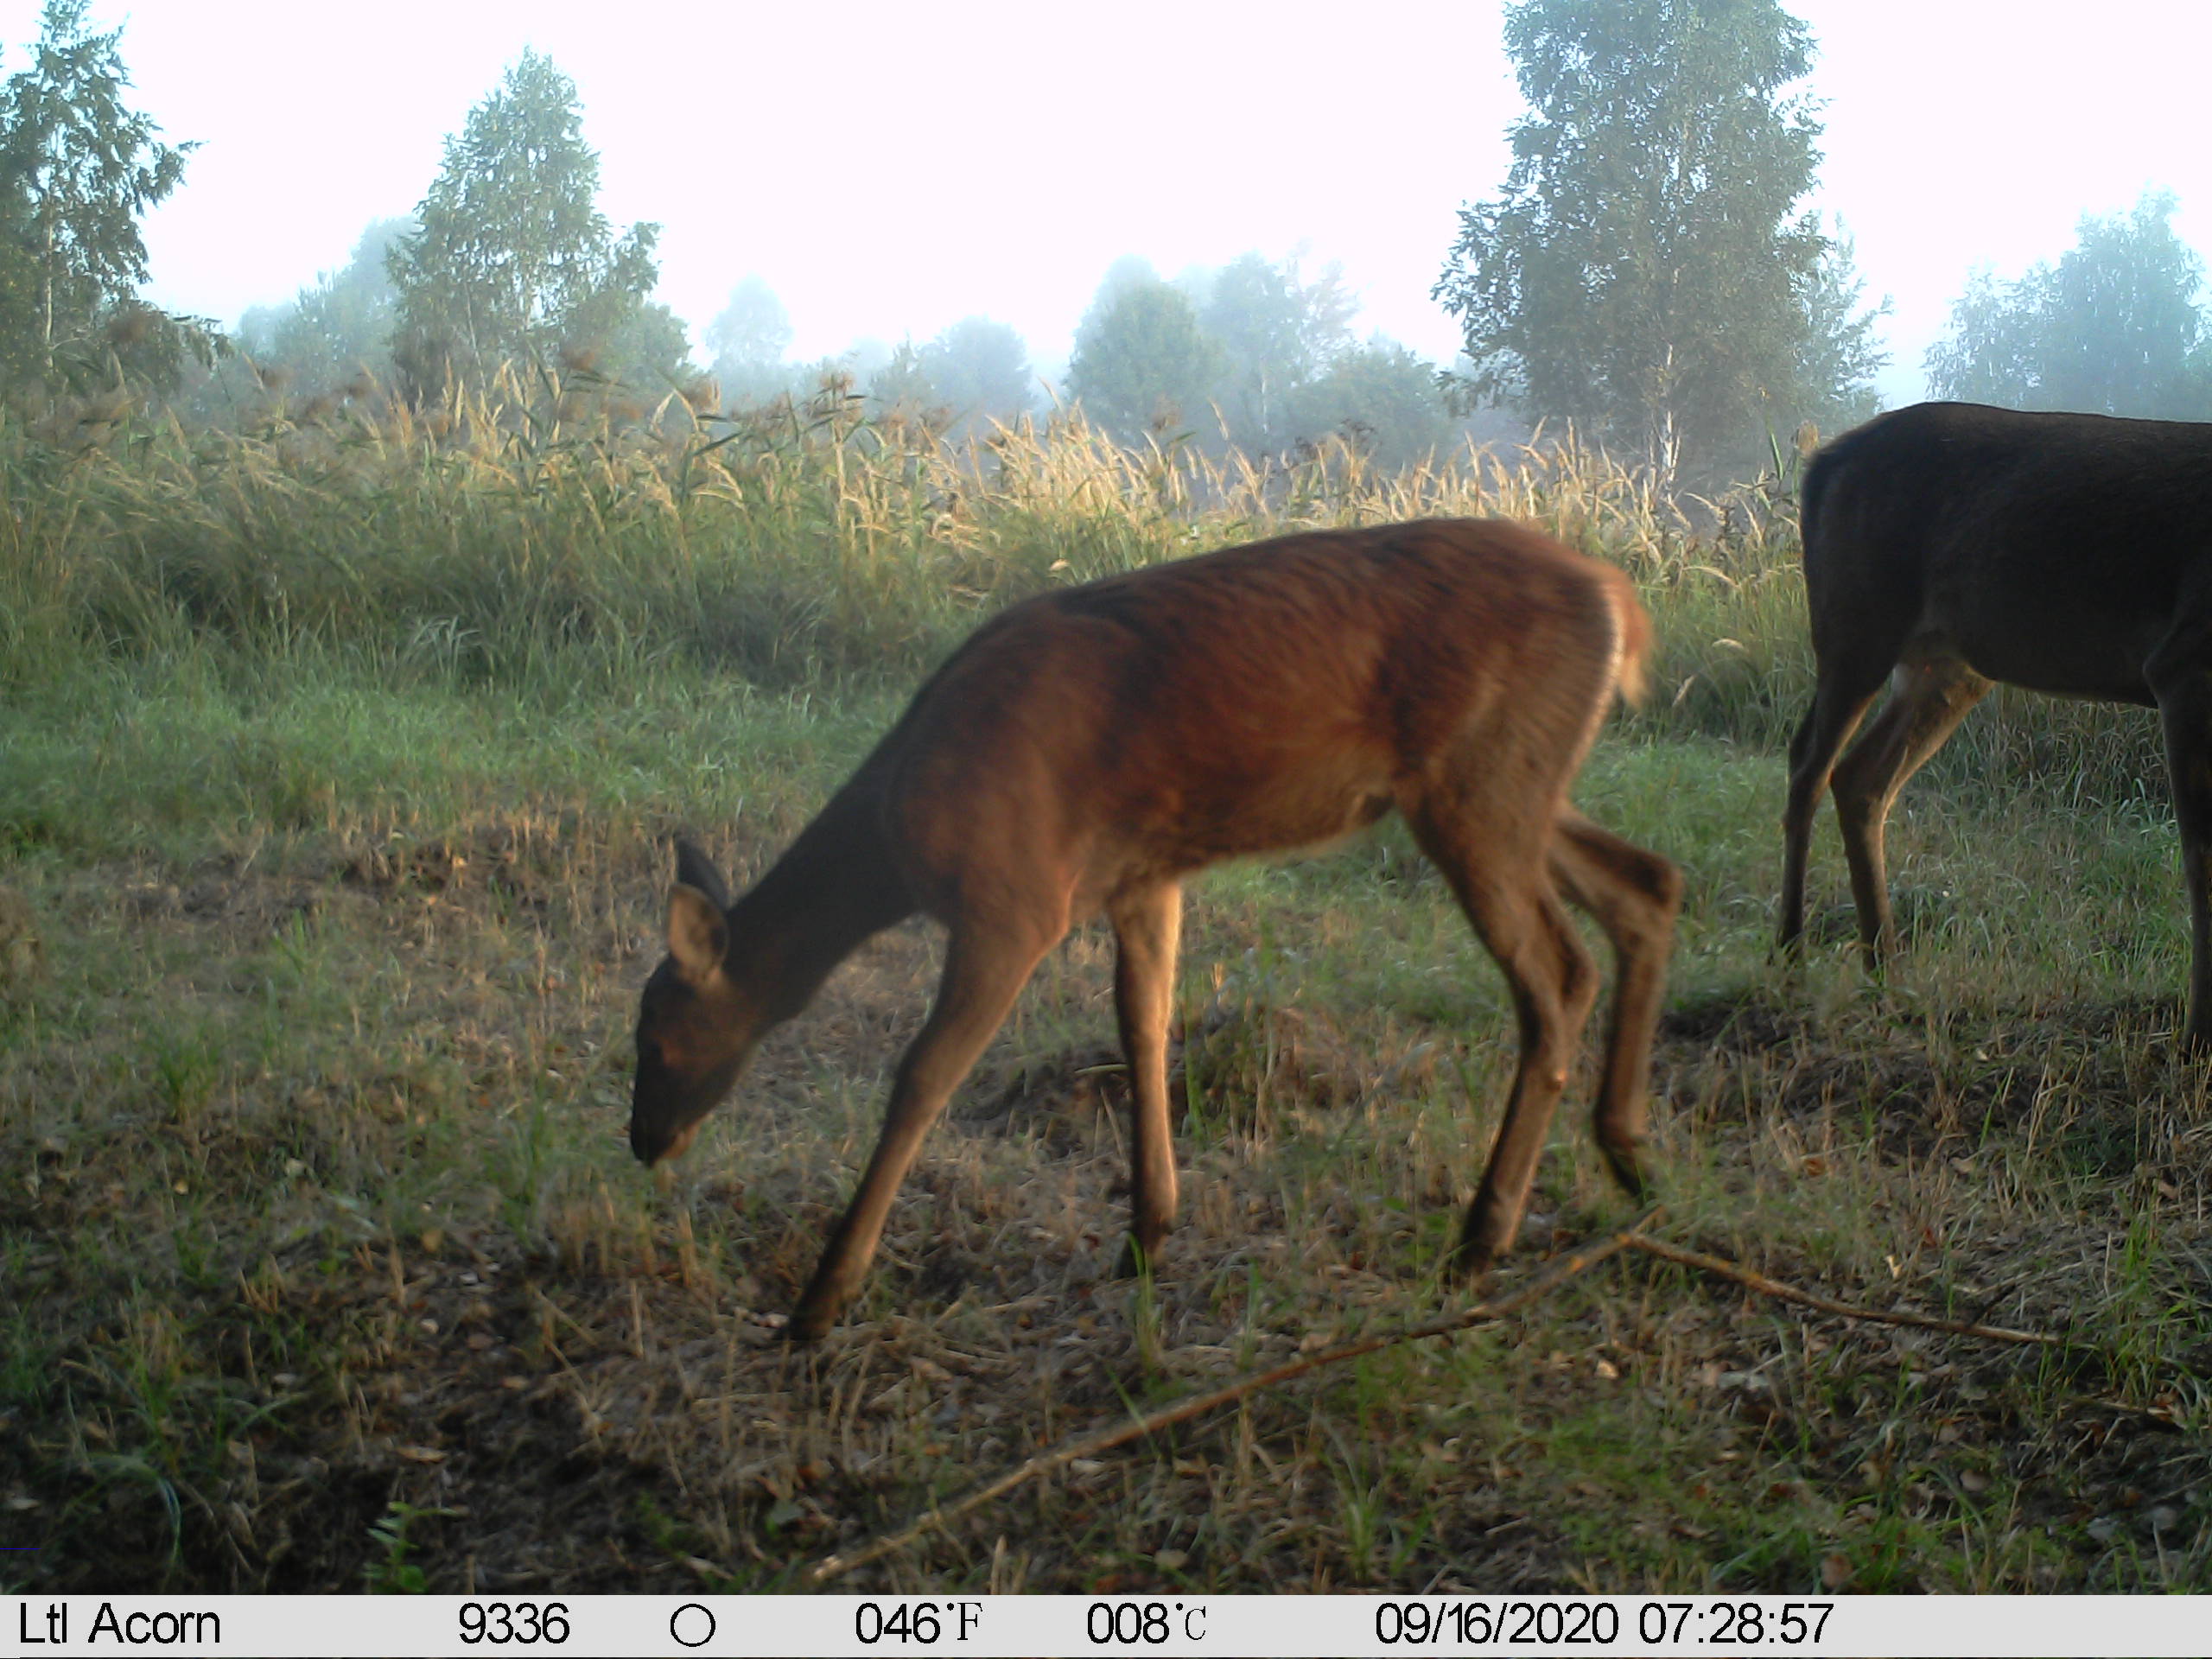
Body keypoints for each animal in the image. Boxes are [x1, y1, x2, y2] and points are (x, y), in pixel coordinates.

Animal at [630, 518, 1682, 1340]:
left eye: (656, 1037)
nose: (643, 1139)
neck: (899, 836)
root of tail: (1617, 601)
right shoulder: (1141, 876)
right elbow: (1143, 1025)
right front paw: (1148, 1232)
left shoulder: (1015, 898)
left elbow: (922, 1080)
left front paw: (821, 1299)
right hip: (1509, 785)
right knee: (1649, 882)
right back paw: (1630, 1158)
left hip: (1480, 777)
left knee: (1558, 976)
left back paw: (1483, 1236)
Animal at [1780, 400, 2212, 1047]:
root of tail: (1825, 459)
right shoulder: (2184, 665)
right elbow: (2201, 861)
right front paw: (2198, 1038)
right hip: (1857, 617)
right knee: (1808, 765)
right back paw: (1791, 957)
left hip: (1948, 663)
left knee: (1860, 776)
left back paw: (1888, 972)